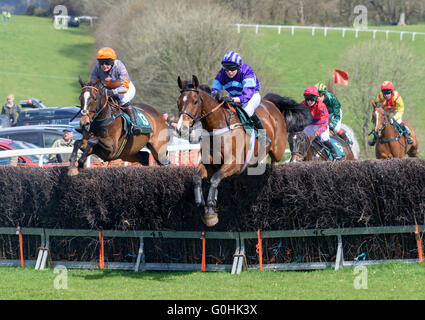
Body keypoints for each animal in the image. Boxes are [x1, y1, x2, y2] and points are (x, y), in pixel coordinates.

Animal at [176, 75, 312, 226]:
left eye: (195, 101)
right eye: (178, 103)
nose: (181, 128)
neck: (219, 126)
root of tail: (270, 102)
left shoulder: (234, 164)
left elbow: (215, 179)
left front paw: (211, 209)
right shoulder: (211, 164)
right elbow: (197, 178)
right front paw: (202, 205)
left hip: (278, 149)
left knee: (276, 161)